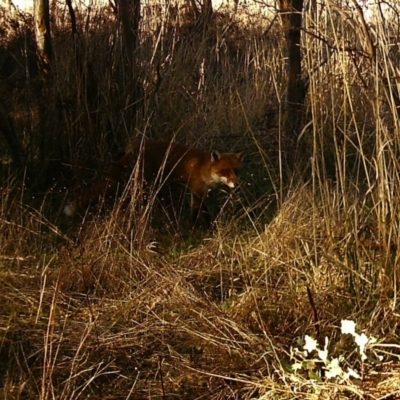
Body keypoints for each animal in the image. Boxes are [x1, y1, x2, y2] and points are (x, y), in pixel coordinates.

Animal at [65, 141, 244, 227]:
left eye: (236, 171)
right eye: (224, 172)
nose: (236, 184)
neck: (203, 168)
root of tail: (131, 151)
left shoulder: (199, 192)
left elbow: (203, 212)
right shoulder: (196, 191)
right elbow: (200, 214)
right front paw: (197, 230)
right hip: (140, 187)